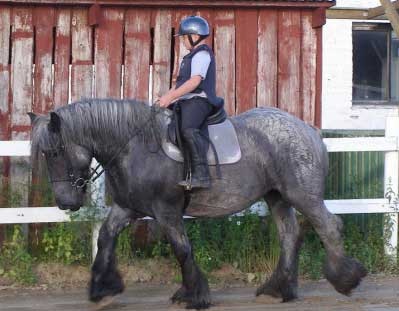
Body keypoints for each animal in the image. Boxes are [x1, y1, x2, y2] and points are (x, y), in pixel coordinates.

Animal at [28, 99, 368, 310]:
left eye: (55, 152)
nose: (65, 202)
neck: (135, 148)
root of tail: (308, 130)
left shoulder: (166, 212)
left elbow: (181, 249)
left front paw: (193, 295)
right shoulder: (127, 209)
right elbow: (105, 238)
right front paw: (102, 289)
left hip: (301, 194)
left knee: (329, 226)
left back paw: (345, 278)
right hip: (277, 197)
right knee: (289, 235)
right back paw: (277, 289)